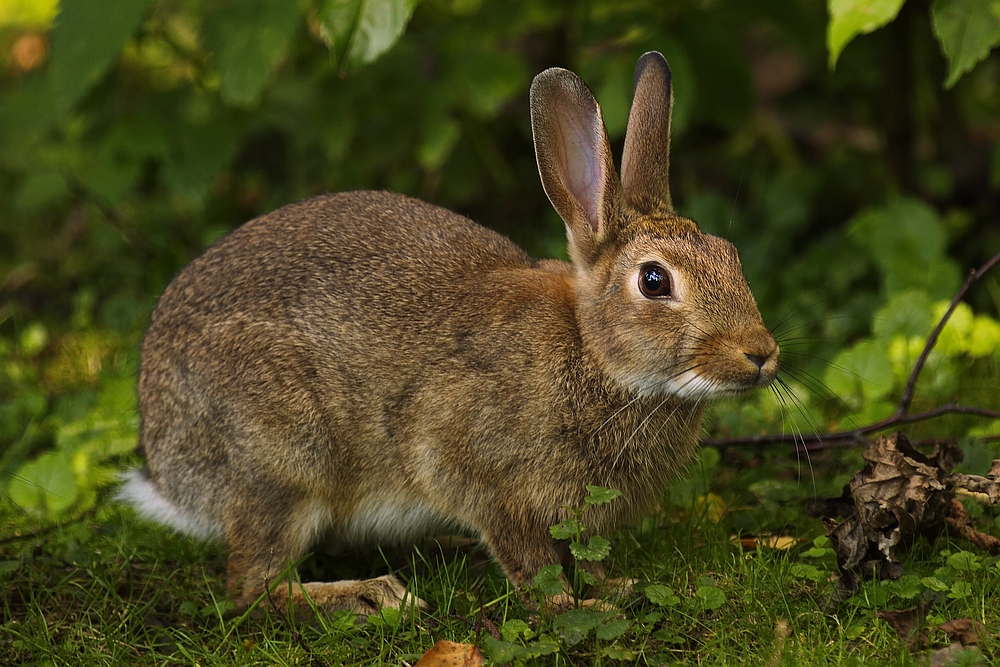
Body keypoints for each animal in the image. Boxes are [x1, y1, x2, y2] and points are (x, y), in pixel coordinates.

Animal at [121, 52, 780, 616]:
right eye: (653, 280)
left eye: (731, 253)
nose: (762, 354)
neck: (593, 356)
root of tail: (167, 467)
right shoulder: (470, 469)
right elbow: (530, 558)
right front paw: (572, 606)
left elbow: (583, 556)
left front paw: (613, 587)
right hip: (284, 460)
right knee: (252, 587)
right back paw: (371, 596)